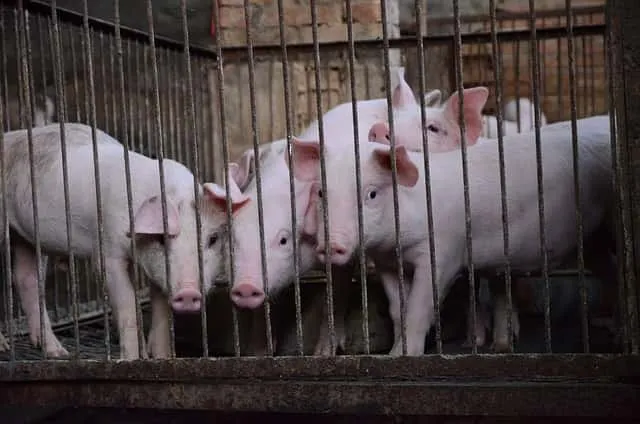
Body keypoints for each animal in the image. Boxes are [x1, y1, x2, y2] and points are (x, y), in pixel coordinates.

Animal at [2, 123, 246, 359]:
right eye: (161, 238)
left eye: (213, 239)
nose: (188, 293)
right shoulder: (107, 252)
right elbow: (128, 304)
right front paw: (131, 358)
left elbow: (161, 315)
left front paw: (161, 357)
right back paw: (7, 347)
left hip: (28, 238)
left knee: (27, 279)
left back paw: (56, 352)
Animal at [291, 115, 613, 356]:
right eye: (321, 192)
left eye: (371, 193)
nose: (330, 245)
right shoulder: (386, 262)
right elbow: (397, 309)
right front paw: (397, 348)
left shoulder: (444, 251)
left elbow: (421, 306)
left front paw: (401, 356)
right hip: (593, 240)